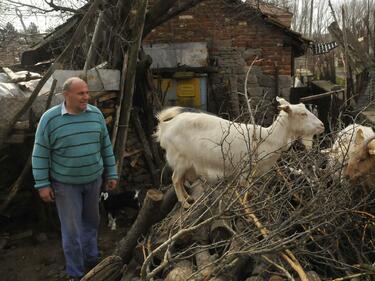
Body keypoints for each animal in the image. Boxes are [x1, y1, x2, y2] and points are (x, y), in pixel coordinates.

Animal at [156, 97, 326, 207]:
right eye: (303, 114)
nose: (322, 125)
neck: (268, 138)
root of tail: (165, 126)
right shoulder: (245, 171)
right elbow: (245, 189)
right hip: (180, 159)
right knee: (175, 179)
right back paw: (184, 203)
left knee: (180, 180)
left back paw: (188, 198)